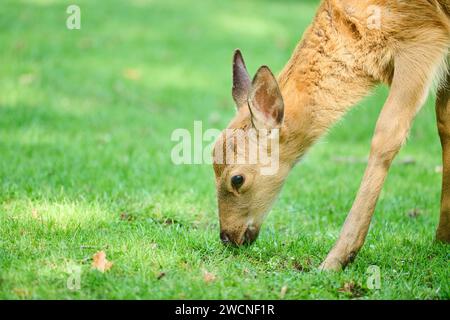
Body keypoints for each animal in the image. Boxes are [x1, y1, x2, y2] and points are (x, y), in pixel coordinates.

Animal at [212, 0, 450, 270]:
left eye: (237, 179)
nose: (227, 236)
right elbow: (444, 123)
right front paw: (442, 239)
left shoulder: (423, 38)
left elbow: (387, 134)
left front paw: (336, 258)